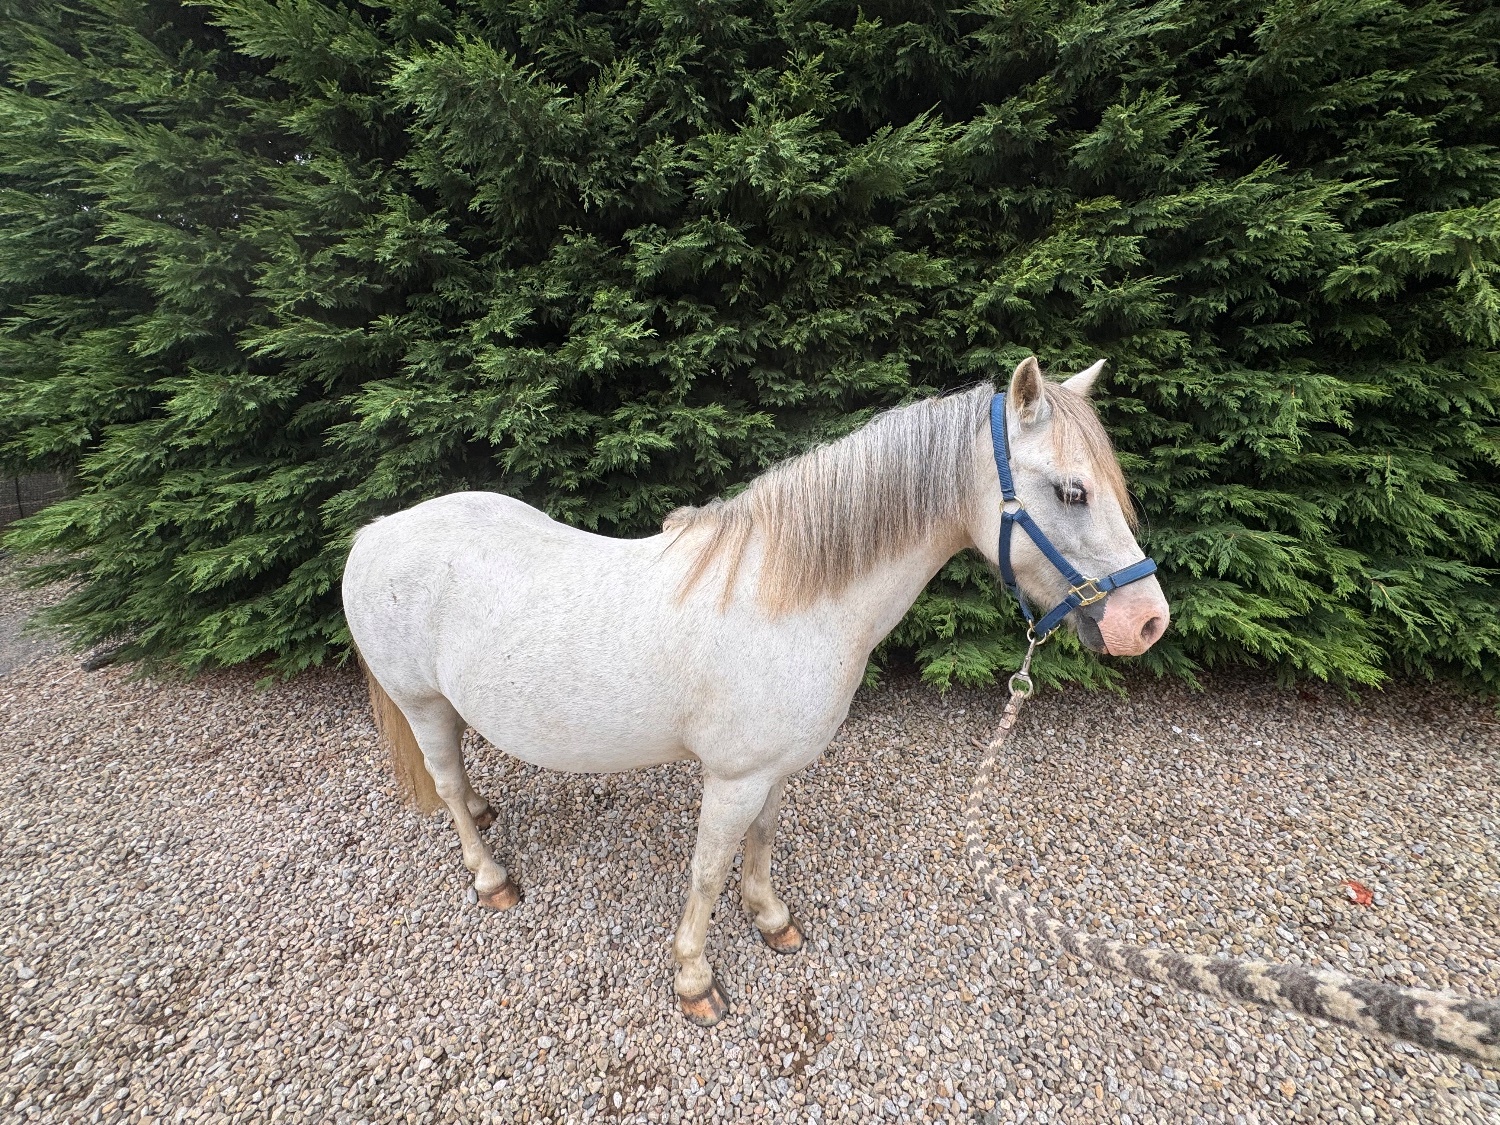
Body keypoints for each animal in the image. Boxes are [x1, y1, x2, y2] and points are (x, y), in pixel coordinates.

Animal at [343, 356, 1168, 1025]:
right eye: (1072, 490)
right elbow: (708, 869)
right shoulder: (732, 776)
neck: (787, 600)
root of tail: (378, 530)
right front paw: (694, 978)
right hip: (419, 702)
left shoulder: (775, 768)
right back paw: (491, 875)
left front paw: (771, 919)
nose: (1147, 621)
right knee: (447, 784)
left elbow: (763, 842)